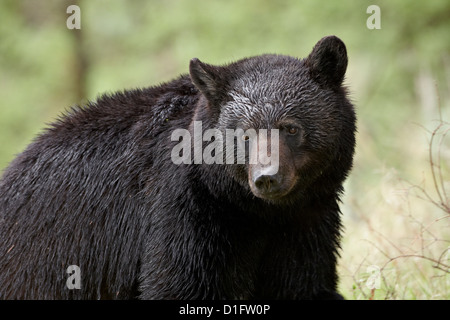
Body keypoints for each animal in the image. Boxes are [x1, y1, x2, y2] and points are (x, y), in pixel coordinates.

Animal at [0, 36, 358, 298]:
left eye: (291, 128)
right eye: (244, 133)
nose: (267, 179)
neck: (257, 213)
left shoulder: (308, 220)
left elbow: (304, 281)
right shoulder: (185, 210)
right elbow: (180, 284)